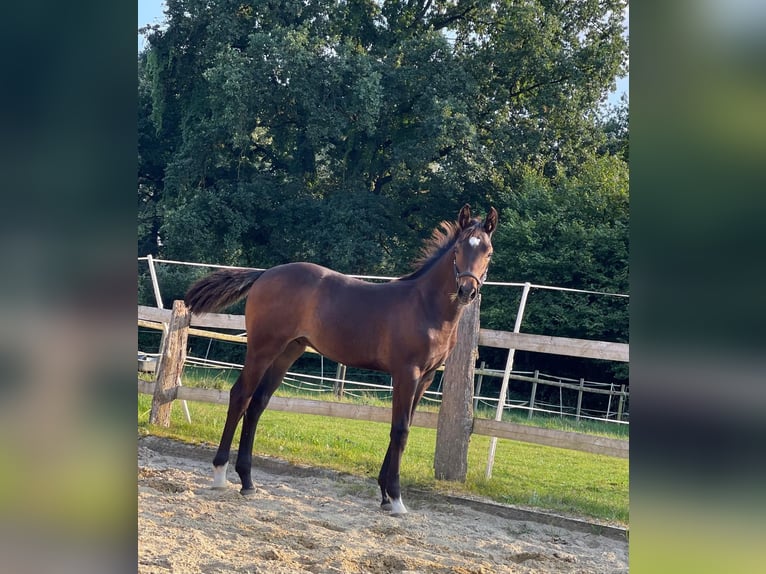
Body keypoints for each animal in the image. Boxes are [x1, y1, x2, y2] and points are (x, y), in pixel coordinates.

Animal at [184, 205, 498, 516]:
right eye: (458, 248)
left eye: (488, 251)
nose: (466, 291)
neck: (425, 306)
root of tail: (264, 274)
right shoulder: (406, 373)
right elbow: (400, 430)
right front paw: (396, 499)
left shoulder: (427, 377)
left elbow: (403, 428)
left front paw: (385, 495)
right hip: (263, 349)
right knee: (241, 396)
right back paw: (220, 474)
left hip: (288, 352)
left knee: (257, 404)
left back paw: (247, 481)